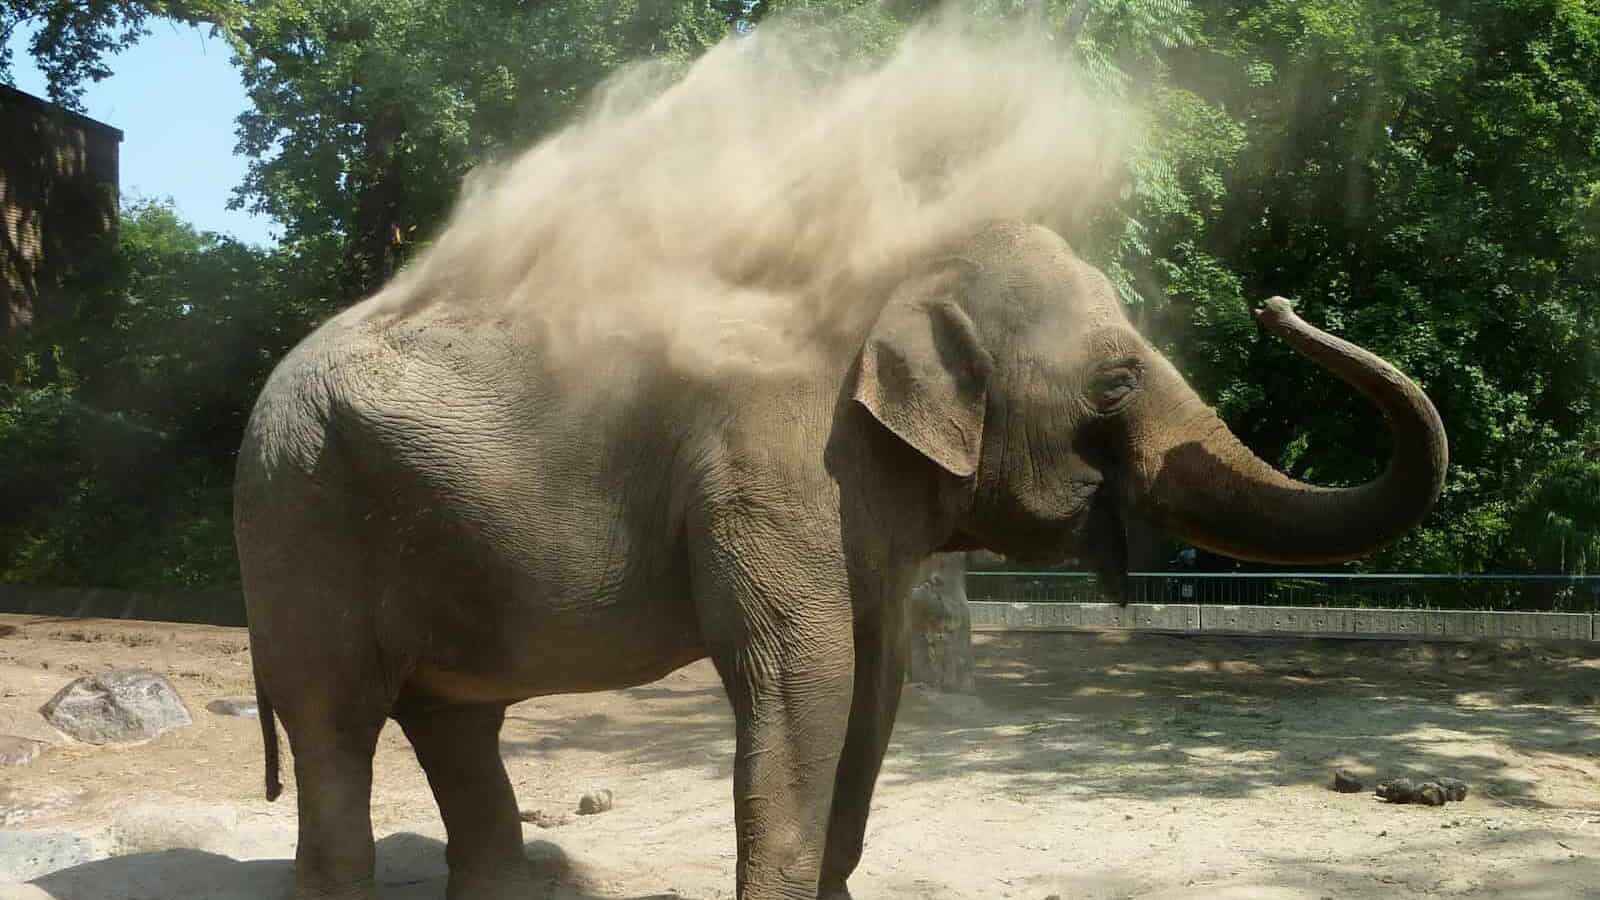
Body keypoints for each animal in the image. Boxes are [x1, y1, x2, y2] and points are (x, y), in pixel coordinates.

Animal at [233, 219, 1447, 900]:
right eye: (1112, 384)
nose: (1277, 301)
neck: (889, 269)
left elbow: (876, 683)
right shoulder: (769, 465)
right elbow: (803, 679)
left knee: (455, 723)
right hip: (300, 516)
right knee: (337, 724)